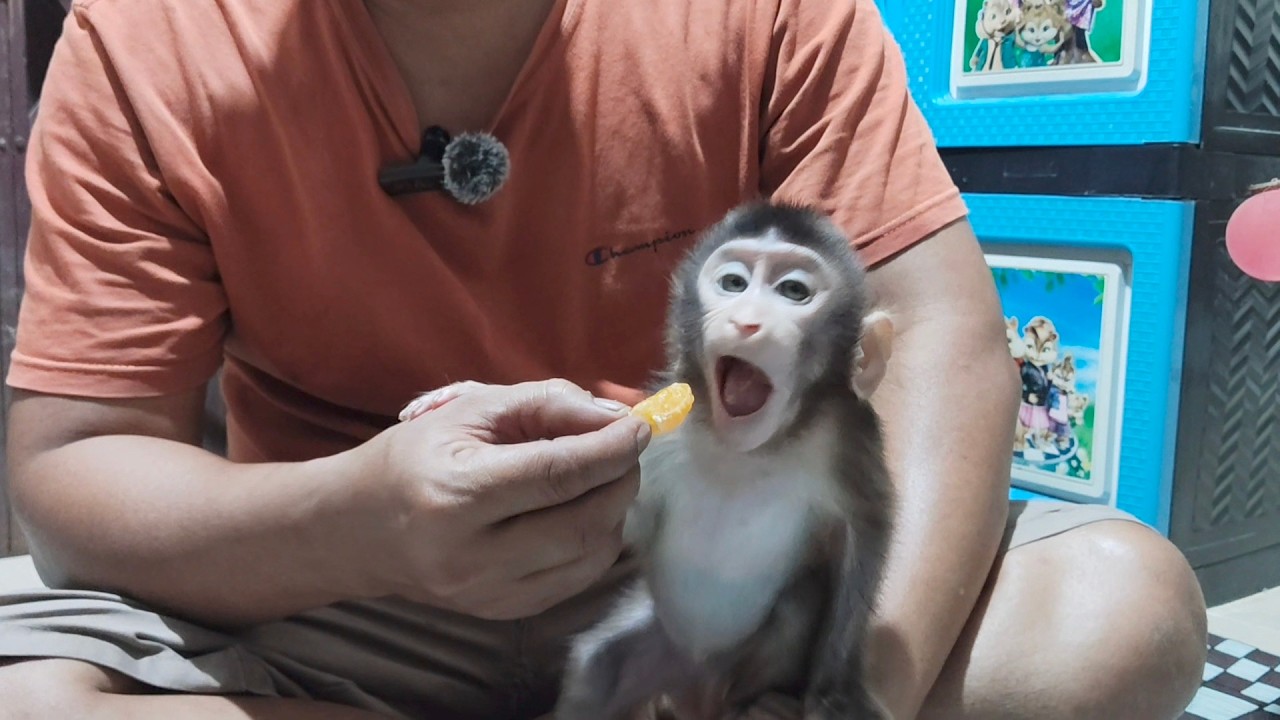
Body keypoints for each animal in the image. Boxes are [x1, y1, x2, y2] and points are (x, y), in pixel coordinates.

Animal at [550, 201, 897, 720]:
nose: (746, 322)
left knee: (796, 608)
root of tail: (698, 687)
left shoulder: (848, 434)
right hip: (659, 649)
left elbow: (866, 534)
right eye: (733, 283)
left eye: (793, 291)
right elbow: (639, 522)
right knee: (597, 664)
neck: (747, 450)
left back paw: (762, 704)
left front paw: (834, 692)